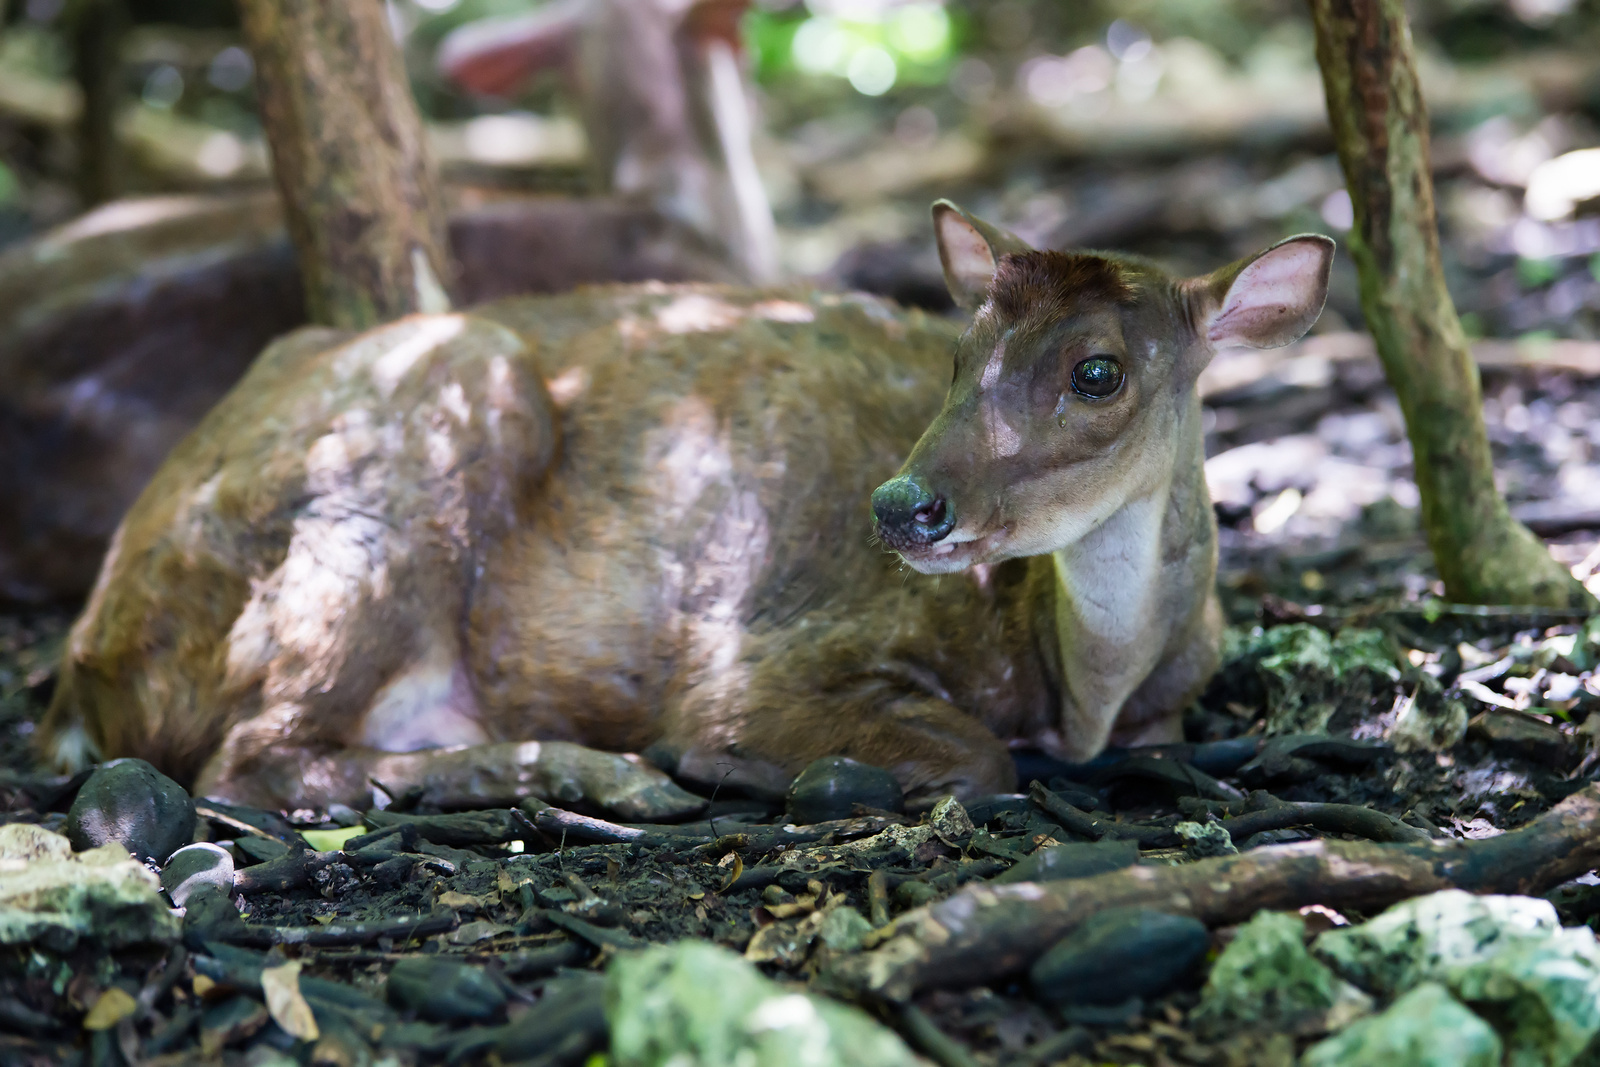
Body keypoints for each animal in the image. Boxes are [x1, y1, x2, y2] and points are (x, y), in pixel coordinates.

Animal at [40, 204, 1337, 825]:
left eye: (1098, 370)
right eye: (959, 348)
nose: (901, 503)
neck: (1083, 683)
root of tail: (86, 652)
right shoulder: (763, 655)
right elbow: (973, 754)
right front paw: (729, 759)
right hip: (411, 456)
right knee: (248, 758)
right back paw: (618, 773)